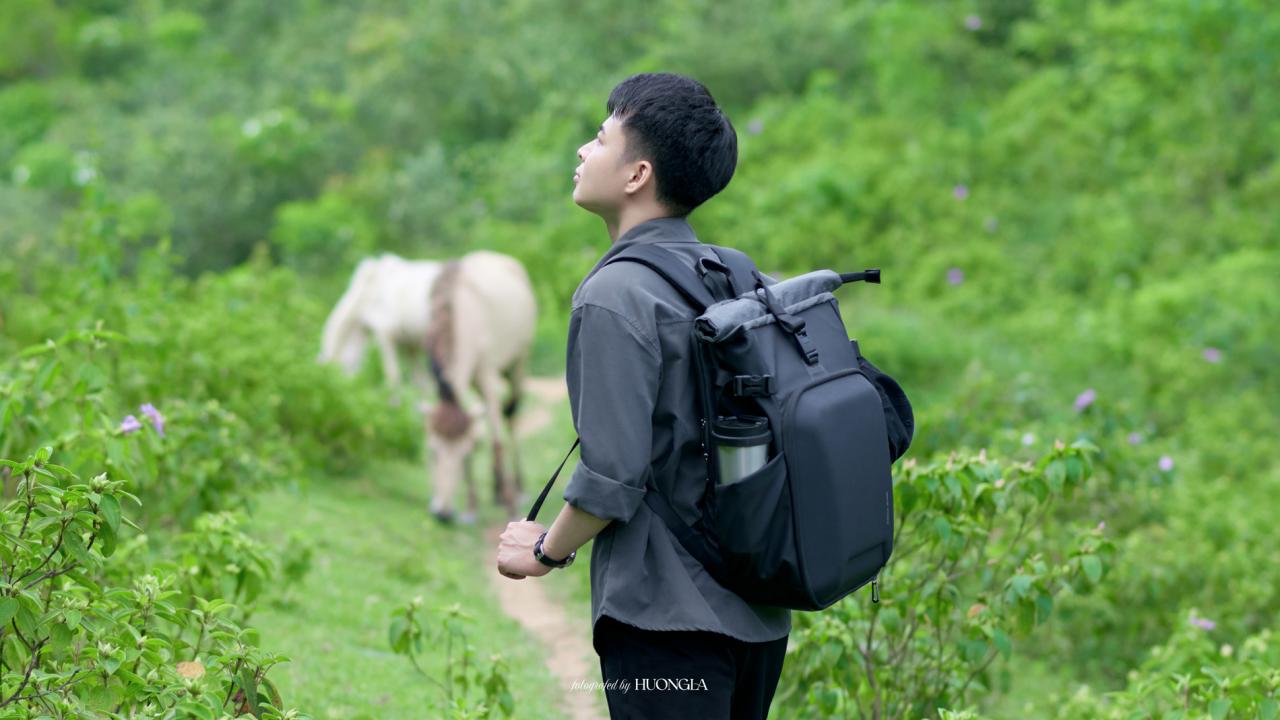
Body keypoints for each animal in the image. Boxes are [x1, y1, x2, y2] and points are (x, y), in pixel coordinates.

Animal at [424, 249, 535, 517]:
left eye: (462, 455)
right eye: (432, 452)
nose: (442, 513)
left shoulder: (487, 376)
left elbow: (495, 439)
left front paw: (509, 500)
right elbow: (474, 431)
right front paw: (472, 504)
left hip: (518, 364)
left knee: (511, 415)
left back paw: (515, 486)